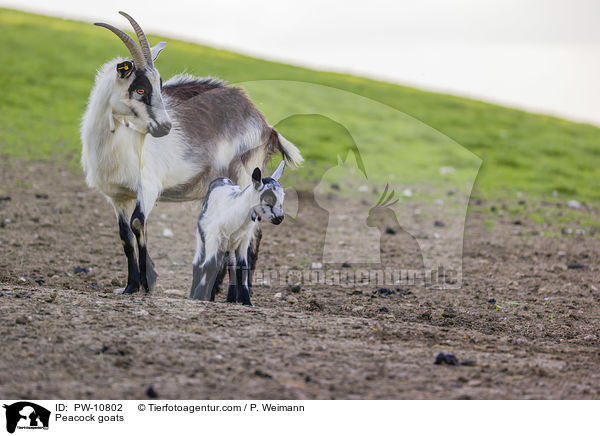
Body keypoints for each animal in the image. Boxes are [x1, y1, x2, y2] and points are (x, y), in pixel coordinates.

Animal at [82, 11, 302, 294]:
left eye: (160, 85)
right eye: (140, 89)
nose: (165, 127)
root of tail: (266, 125)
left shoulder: (148, 187)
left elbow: (138, 224)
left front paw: (146, 284)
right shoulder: (117, 196)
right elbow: (125, 236)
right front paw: (130, 287)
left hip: (246, 174)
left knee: (253, 232)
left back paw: (238, 291)